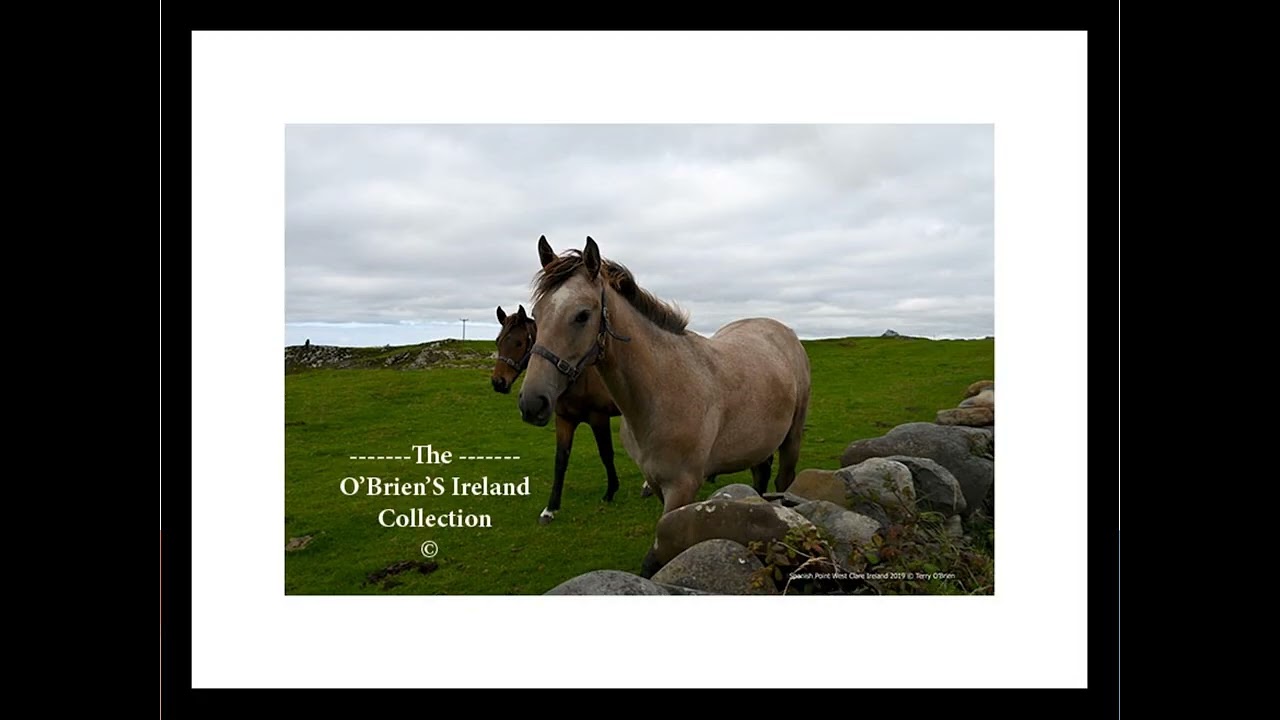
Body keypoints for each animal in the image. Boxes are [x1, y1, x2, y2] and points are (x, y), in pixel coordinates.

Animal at [491, 303, 623, 524]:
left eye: (518, 343)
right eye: (498, 341)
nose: (498, 382)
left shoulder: (599, 417)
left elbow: (606, 453)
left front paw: (611, 491)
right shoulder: (564, 420)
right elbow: (560, 460)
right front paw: (550, 508)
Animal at [516, 236, 811, 576]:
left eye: (582, 315)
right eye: (537, 314)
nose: (531, 402)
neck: (663, 389)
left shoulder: (682, 488)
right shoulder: (658, 483)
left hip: (792, 439)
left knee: (782, 480)